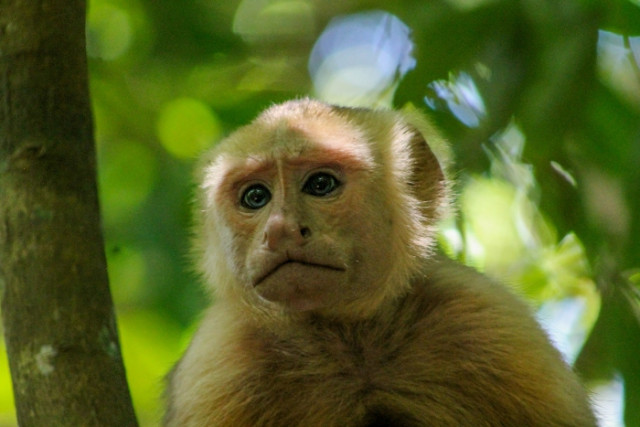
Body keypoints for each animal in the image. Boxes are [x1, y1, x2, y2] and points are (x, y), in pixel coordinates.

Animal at [164, 98, 596, 426]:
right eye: (256, 197)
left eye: (320, 184)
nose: (282, 230)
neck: (353, 343)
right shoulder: (218, 367)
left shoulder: (493, 323)